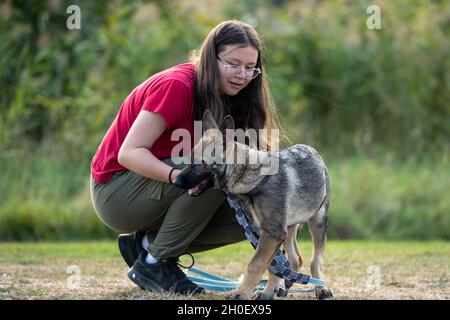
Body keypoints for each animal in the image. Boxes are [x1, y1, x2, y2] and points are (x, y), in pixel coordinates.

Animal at [174, 110, 332, 300]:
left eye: (200, 162)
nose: (175, 181)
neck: (245, 171)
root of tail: (313, 151)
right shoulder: (268, 233)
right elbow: (272, 267)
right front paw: (267, 292)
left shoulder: (272, 233)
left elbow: (256, 264)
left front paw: (241, 293)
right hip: (289, 229)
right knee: (295, 259)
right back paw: (283, 288)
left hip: (317, 222)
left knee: (316, 260)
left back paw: (321, 288)